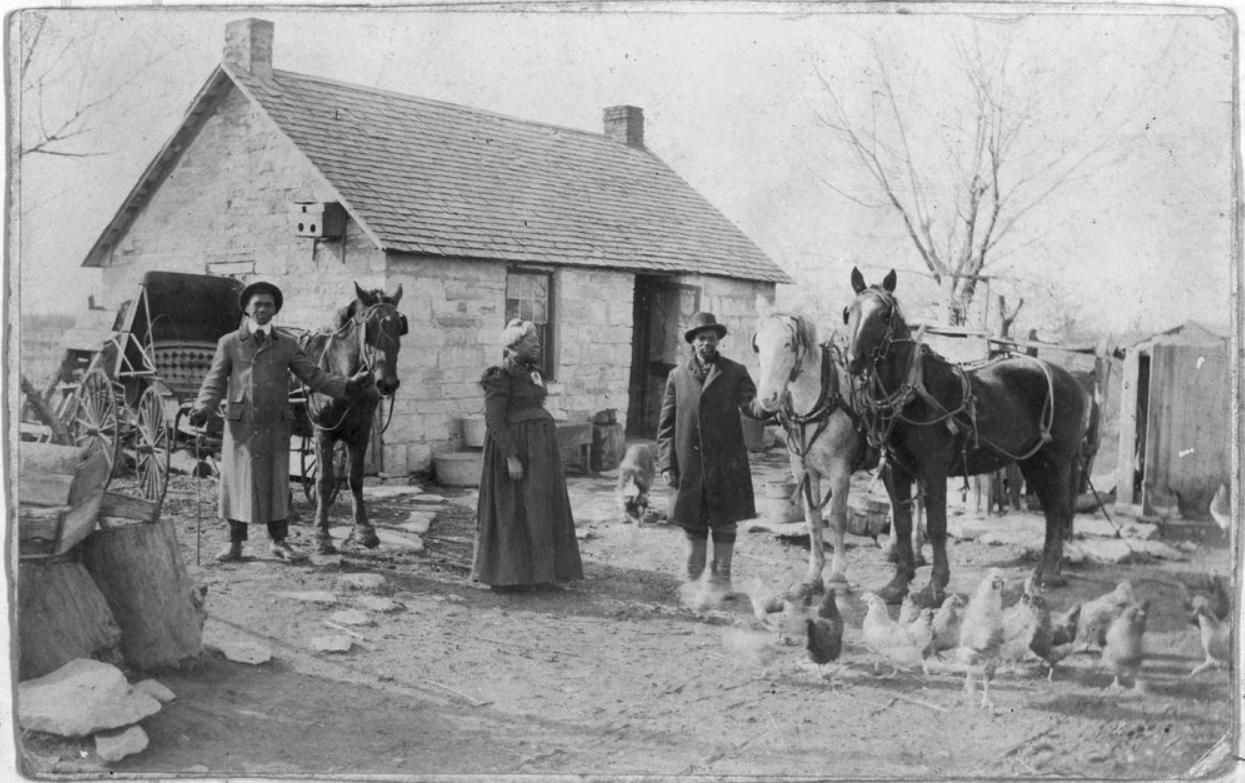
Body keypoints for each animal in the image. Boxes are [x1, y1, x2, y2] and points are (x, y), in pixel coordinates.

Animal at [297, 283, 405, 552]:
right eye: (370, 326)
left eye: (400, 326)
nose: (387, 384)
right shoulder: (322, 432)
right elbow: (324, 480)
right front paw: (321, 534)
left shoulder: (360, 432)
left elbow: (354, 478)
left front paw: (364, 530)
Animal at [747, 298, 876, 592]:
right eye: (758, 344)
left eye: (788, 343)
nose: (767, 399)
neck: (816, 405)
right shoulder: (805, 471)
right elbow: (812, 519)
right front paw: (814, 575)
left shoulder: (840, 472)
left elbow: (837, 519)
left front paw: (838, 575)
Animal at [841, 268, 1085, 604]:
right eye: (849, 312)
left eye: (884, 314)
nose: (853, 360)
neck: (913, 392)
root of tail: (1072, 381)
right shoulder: (895, 469)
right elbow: (902, 523)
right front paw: (898, 584)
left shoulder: (933, 469)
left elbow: (937, 525)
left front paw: (934, 586)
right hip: (1032, 463)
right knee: (1051, 512)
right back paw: (1045, 573)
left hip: (1057, 461)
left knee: (1058, 510)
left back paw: (1046, 575)